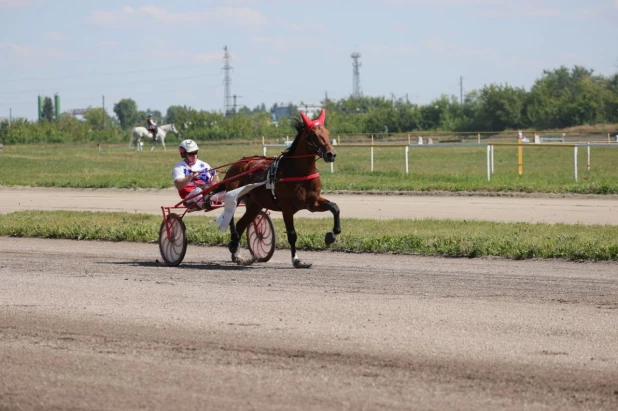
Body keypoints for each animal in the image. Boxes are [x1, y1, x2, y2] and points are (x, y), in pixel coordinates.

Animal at [223, 109, 336, 270]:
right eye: (314, 134)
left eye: (327, 132)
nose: (331, 154)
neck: (299, 172)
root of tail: (237, 164)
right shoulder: (287, 207)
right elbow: (292, 234)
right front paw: (297, 260)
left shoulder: (312, 203)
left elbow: (334, 207)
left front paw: (331, 235)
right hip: (235, 197)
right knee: (232, 220)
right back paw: (234, 246)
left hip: (255, 204)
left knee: (240, 225)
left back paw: (237, 255)